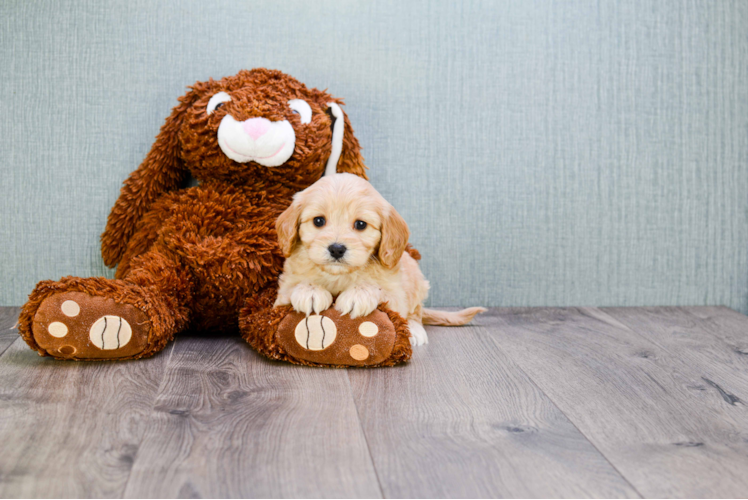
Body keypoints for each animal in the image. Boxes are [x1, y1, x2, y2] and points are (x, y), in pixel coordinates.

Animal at [274, 174, 486, 346]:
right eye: (318, 221)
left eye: (361, 224)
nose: (336, 249)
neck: (339, 275)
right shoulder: (281, 293)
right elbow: (293, 288)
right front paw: (309, 291)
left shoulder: (395, 294)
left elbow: (378, 289)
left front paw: (358, 294)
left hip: (417, 281)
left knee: (415, 312)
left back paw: (415, 330)